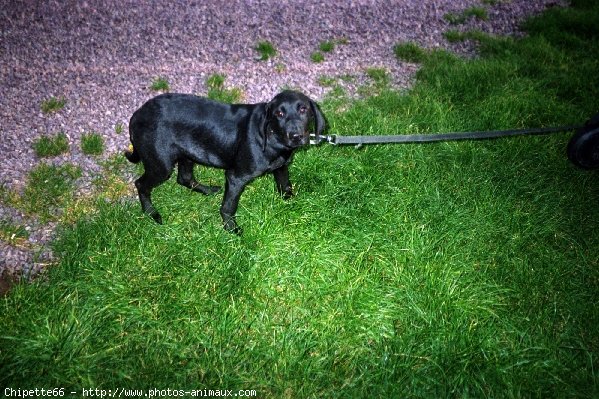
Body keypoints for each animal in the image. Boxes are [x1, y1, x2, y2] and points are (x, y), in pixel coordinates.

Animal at [123, 90, 326, 234]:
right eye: (279, 113)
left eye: (303, 109)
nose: (296, 136)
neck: (272, 137)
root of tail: (136, 115)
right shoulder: (236, 177)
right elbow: (228, 207)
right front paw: (231, 228)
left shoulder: (282, 167)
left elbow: (285, 186)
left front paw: (291, 202)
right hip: (161, 165)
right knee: (141, 184)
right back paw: (151, 213)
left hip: (187, 153)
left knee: (184, 178)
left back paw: (207, 190)